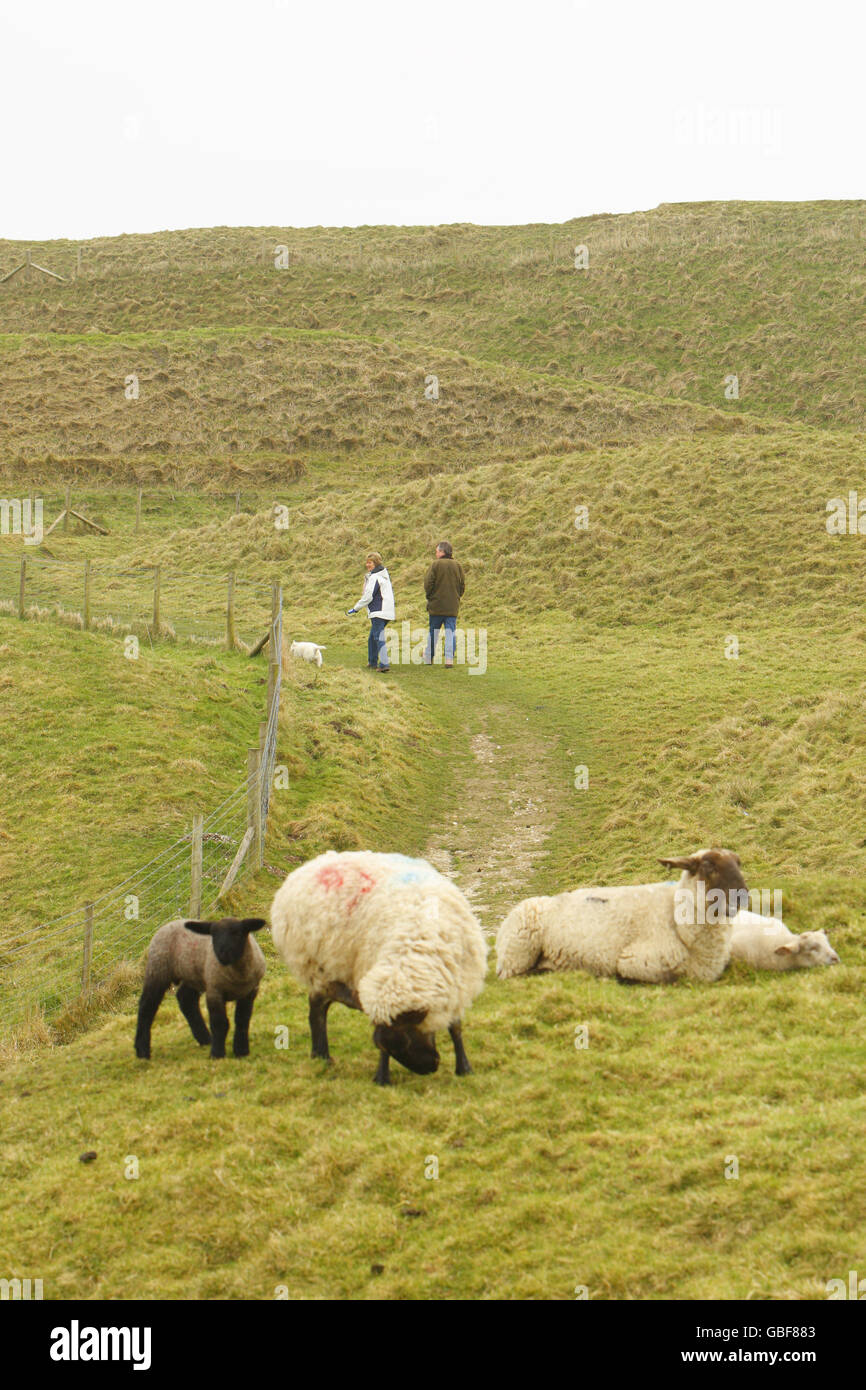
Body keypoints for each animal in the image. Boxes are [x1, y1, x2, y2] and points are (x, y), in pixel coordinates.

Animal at [132, 917, 265, 1056]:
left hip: (193, 976)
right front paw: (217, 1053)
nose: (222, 954)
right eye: (213, 935)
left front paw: (241, 1050)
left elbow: (242, 1020)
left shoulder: (250, 992)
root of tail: (169, 923)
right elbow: (219, 1023)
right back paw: (142, 1050)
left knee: (186, 999)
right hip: (158, 970)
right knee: (147, 1007)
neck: (238, 976)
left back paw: (205, 1038)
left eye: (238, 933)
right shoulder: (214, 990)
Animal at [271, 845, 489, 1084]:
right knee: (317, 1007)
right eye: (396, 1045)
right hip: (321, 969)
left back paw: (320, 1055)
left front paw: (464, 1068)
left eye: (406, 1038)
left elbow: (455, 1028)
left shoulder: (456, 984)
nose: (428, 1068)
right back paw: (322, 1055)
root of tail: (306, 867)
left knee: (319, 1004)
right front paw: (382, 1078)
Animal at [497, 845, 750, 989]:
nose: (742, 897)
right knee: (513, 976)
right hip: (517, 953)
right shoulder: (634, 960)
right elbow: (663, 978)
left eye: (739, 864)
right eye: (708, 866)